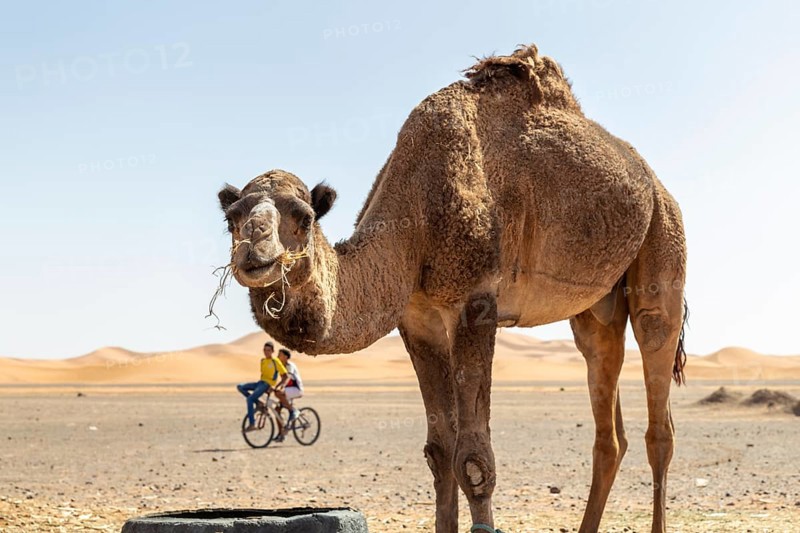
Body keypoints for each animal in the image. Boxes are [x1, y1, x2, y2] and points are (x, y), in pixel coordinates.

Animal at [217, 44, 687, 533]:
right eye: (231, 217)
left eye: (304, 216)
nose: (255, 253)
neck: (414, 218)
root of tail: (651, 180)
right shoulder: (418, 319)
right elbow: (440, 452)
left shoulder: (475, 303)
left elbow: (474, 461)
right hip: (596, 307)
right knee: (606, 409)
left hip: (663, 238)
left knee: (659, 404)